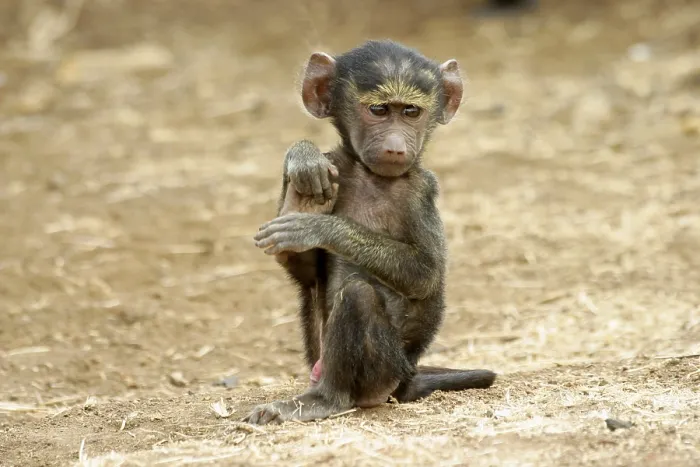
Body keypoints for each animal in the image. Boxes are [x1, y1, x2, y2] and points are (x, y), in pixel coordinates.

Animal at [244, 40, 496, 425]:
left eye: (410, 111)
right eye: (378, 110)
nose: (395, 146)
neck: (369, 174)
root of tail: (407, 379)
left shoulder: (421, 190)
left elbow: (425, 274)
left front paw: (316, 225)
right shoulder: (336, 164)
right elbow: (308, 277)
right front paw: (303, 163)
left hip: (385, 373)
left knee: (358, 295)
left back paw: (326, 400)